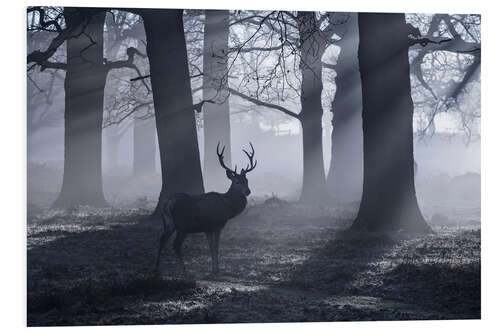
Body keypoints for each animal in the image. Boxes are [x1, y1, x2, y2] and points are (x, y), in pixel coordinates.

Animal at [153, 141, 258, 274]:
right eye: (237, 182)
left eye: (247, 180)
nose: (248, 191)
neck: (226, 207)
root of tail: (169, 203)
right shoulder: (217, 224)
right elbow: (216, 247)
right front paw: (217, 269)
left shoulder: (207, 228)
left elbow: (211, 247)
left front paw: (213, 268)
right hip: (183, 225)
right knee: (175, 245)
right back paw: (184, 270)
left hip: (168, 223)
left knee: (162, 239)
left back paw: (156, 268)